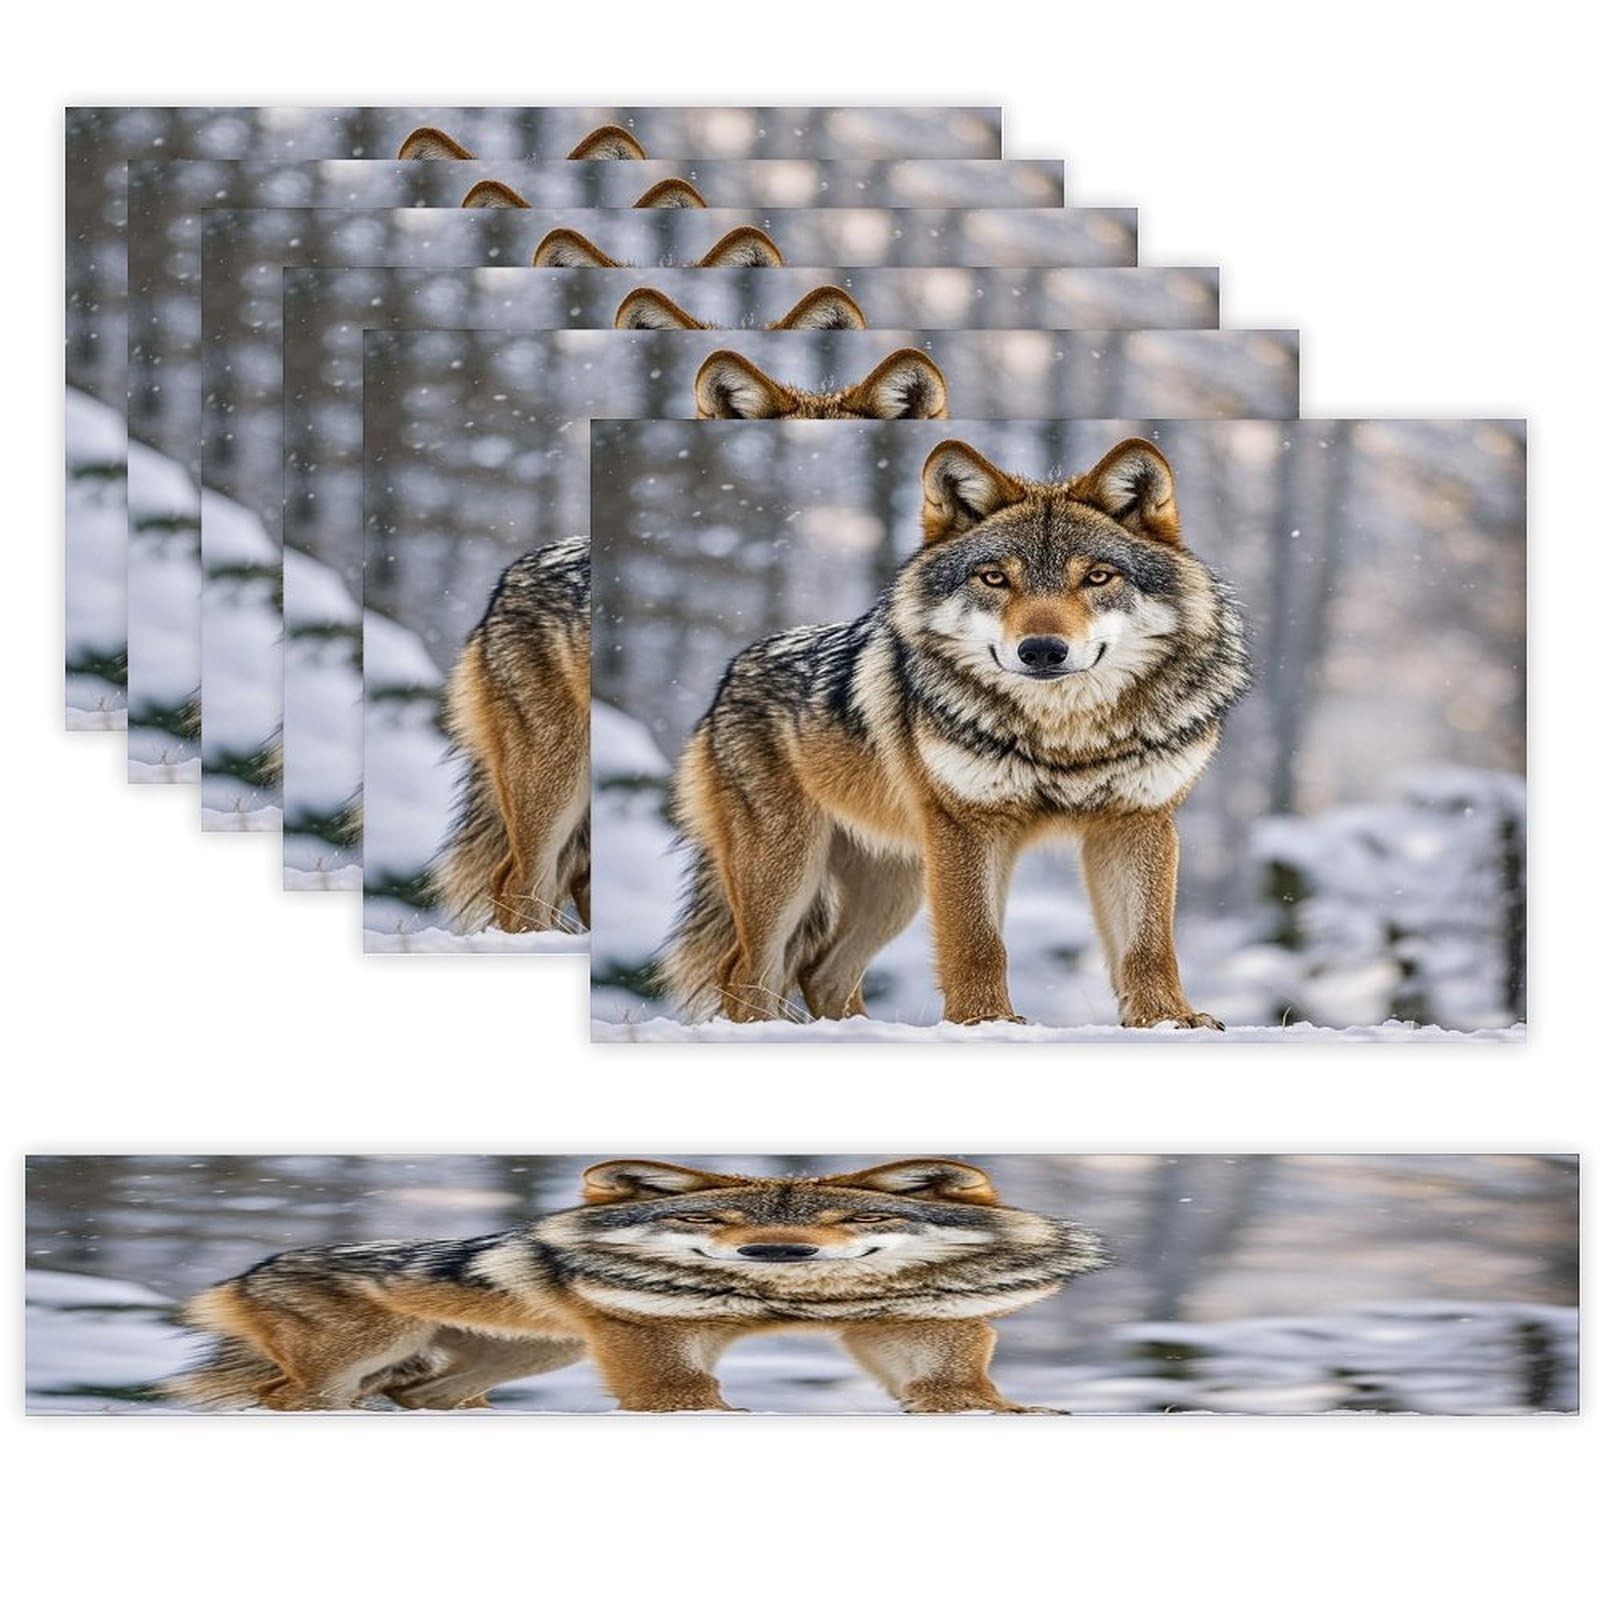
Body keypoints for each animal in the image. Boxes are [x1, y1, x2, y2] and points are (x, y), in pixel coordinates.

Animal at [164, 1159, 1104, 1413]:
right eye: (714, 1219)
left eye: (850, 1218)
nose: (778, 1254)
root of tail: (243, 1270)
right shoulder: (648, 1336)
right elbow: (683, 1394)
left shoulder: (912, 1327)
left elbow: (958, 1385)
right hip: (356, 1362)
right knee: (290, 1403)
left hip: (516, 1363)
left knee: (422, 1401)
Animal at [662, 437, 1250, 1028]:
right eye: (994, 578)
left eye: (1098, 577)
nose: (1042, 650)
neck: (1065, 737)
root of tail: (729, 674)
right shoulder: (967, 825)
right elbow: (977, 941)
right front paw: (985, 1021)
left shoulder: (1138, 821)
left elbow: (1149, 944)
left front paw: (1167, 1019)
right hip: (790, 869)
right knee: (746, 971)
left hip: (897, 883)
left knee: (823, 973)